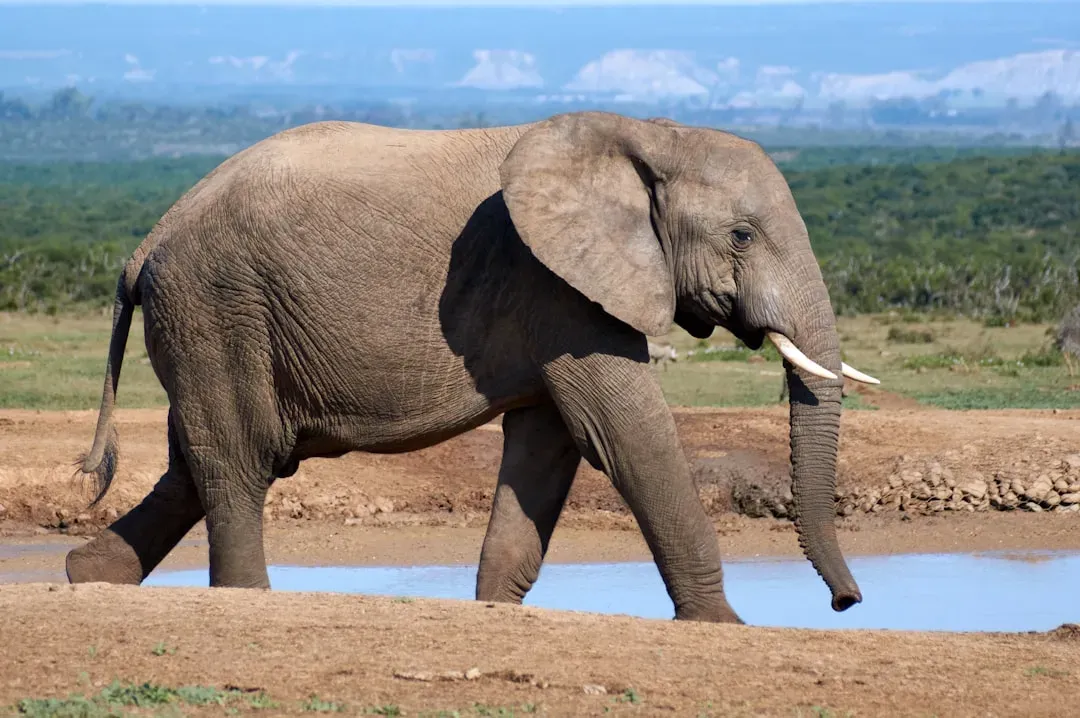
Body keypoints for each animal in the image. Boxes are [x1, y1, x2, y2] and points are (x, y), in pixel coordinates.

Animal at [66, 110, 880, 622]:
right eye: (741, 236)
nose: (847, 602)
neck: (649, 136)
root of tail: (146, 243)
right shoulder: (555, 282)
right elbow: (623, 432)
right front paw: (722, 624)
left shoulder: (556, 298)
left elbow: (548, 446)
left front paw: (494, 610)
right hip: (217, 305)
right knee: (239, 457)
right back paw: (241, 597)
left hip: (210, 321)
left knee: (196, 459)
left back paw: (87, 577)